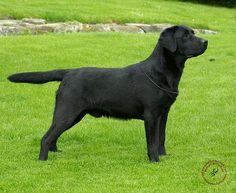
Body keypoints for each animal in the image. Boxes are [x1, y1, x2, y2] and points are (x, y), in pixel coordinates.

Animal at [7, 25, 206, 161]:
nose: (206, 42)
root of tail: (68, 72)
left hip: (74, 115)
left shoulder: (163, 113)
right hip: (67, 112)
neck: (162, 72)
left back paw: (55, 153)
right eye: (186, 36)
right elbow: (152, 141)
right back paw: (43, 160)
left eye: (194, 32)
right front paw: (155, 160)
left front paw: (164, 156)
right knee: (46, 137)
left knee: (53, 136)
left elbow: (161, 137)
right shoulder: (151, 115)